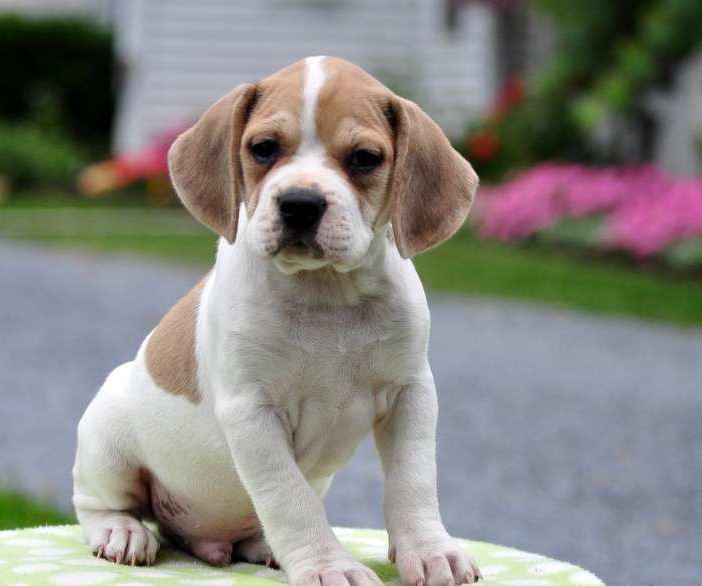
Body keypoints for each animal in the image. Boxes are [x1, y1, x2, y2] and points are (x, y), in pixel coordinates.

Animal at [72, 56, 480, 586]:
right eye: (263, 149)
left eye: (365, 158)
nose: (301, 203)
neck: (326, 293)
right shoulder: (253, 411)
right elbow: (289, 498)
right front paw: (329, 566)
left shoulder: (411, 395)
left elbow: (413, 482)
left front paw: (431, 551)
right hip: (107, 443)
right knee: (96, 503)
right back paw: (122, 532)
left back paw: (261, 545)